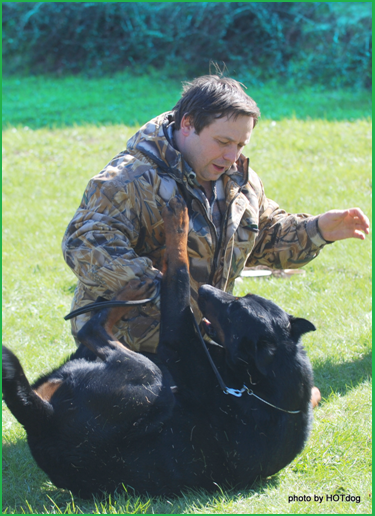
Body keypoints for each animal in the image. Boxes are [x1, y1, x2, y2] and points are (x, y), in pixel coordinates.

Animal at [2, 196, 318, 498]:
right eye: (242, 297)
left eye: (235, 310)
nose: (205, 290)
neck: (258, 390)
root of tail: (42, 418)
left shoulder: (177, 339)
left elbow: (179, 269)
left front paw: (179, 222)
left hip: (149, 376)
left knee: (93, 329)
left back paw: (133, 288)